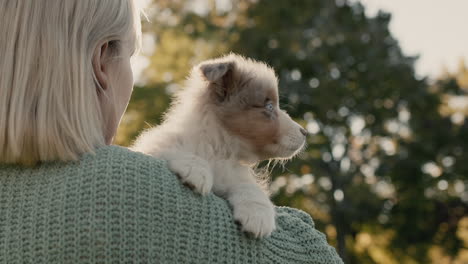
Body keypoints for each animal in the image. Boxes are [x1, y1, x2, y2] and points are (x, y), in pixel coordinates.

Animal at [132, 53, 308, 237]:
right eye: (269, 106)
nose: (305, 132)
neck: (220, 148)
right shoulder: (155, 146)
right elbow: (175, 150)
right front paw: (196, 171)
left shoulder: (233, 175)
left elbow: (250, 187)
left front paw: (258, 216)